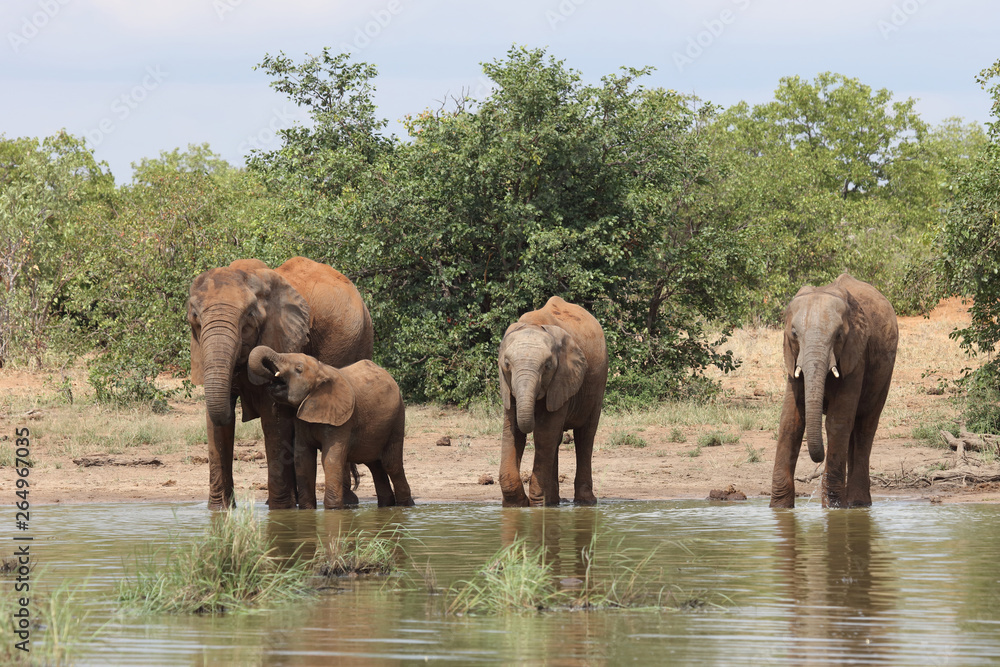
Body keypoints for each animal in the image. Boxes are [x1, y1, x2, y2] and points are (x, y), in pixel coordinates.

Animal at [187, 257, 374, 510]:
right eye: (195, 317)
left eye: (249, 316)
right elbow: (215, 422)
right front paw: (219, 510)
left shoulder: (280, 335)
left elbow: (273, 417)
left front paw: (280, 510)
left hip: (361, 339)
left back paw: (347, 502)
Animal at [248, 345, 414, 510]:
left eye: (298, 369)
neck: (321, 370)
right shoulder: (302, 420)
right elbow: (303, 460)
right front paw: (307, 510)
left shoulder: (341, 420)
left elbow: (331, 459)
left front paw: (333, 509)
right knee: (375, 465)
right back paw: (387, 505)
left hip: (398, 417)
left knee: (391, 464)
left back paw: (406, 505)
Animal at [498, 296, 608, 507]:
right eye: (507, 364)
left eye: (547, 366)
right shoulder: (508, 386)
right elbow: (511, 432)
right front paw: (517, 505)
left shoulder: (562, 378)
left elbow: (544, 433)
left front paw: (536, 504)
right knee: (557, 440)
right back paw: (553, 502)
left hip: (598, 385)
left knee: (585, 436)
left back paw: (585, 502)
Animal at [770, 273, 898, 508]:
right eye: (794, 333)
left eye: (838, 335)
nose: (818, 459)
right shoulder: (792, 359)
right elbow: (790, 422)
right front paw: (779, 508)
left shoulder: (856, 354)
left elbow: (836, 423)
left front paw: (834, 508)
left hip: (885, 373)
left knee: (864, 427)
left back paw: (857, 504)